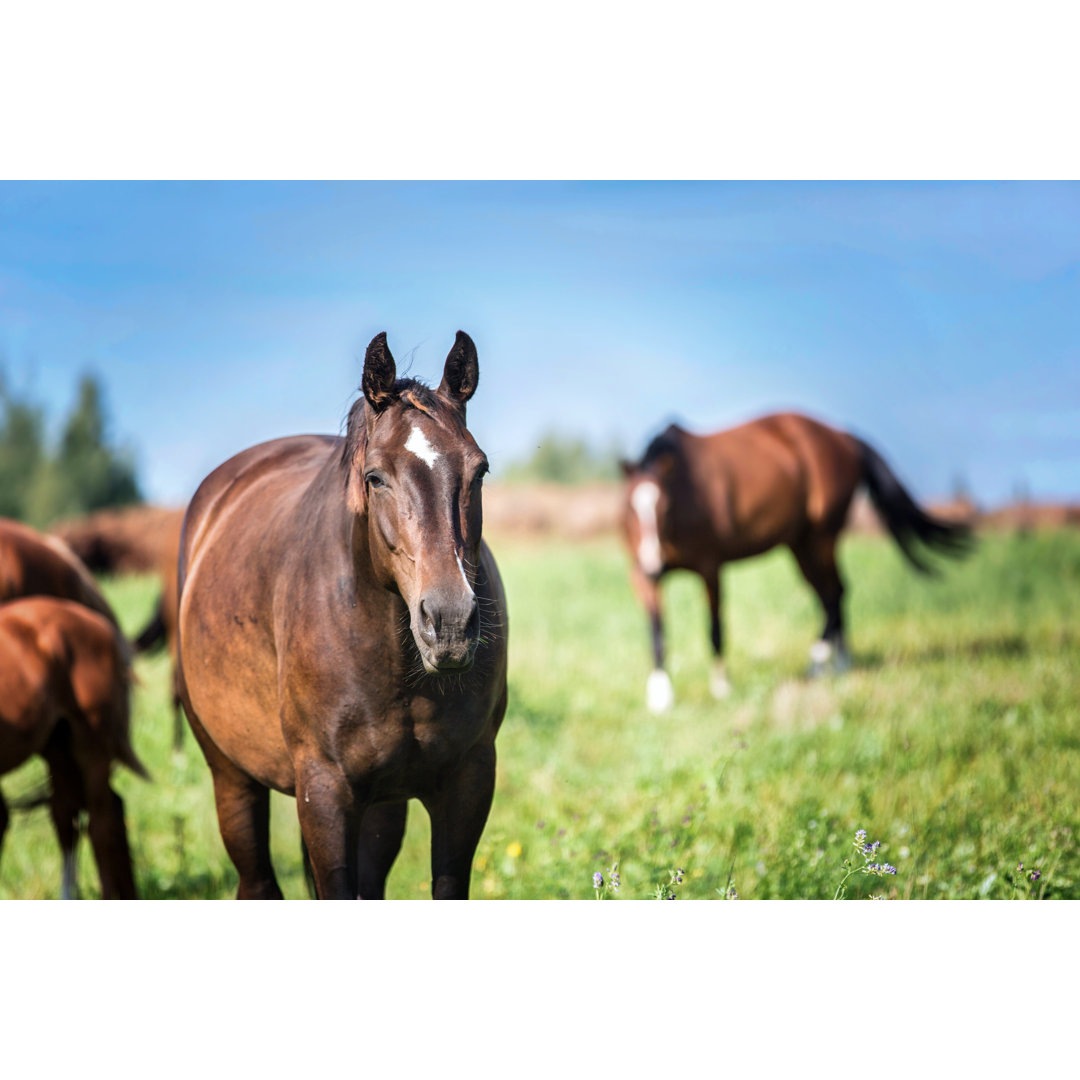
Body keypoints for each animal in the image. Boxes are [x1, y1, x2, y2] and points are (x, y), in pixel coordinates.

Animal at [178, 330, 509, 902]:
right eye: (375, 478)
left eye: (479, 470)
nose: (449, 623)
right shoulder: (325, 791)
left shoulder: (467, 782)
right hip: (232, 777)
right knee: (257, 880)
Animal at [622, 410, 976, 708]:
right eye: (629, 508)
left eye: (665, 507)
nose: (654, 565)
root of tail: (846, 437)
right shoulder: (640, 574)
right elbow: (656, 632)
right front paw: (660, 695)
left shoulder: (710, 567)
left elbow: (715, 628)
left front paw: (721, 687)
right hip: (801, 545)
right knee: (831, 593)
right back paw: (842, 663)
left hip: (821, 537)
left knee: (834, 595)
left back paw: (817, 664)